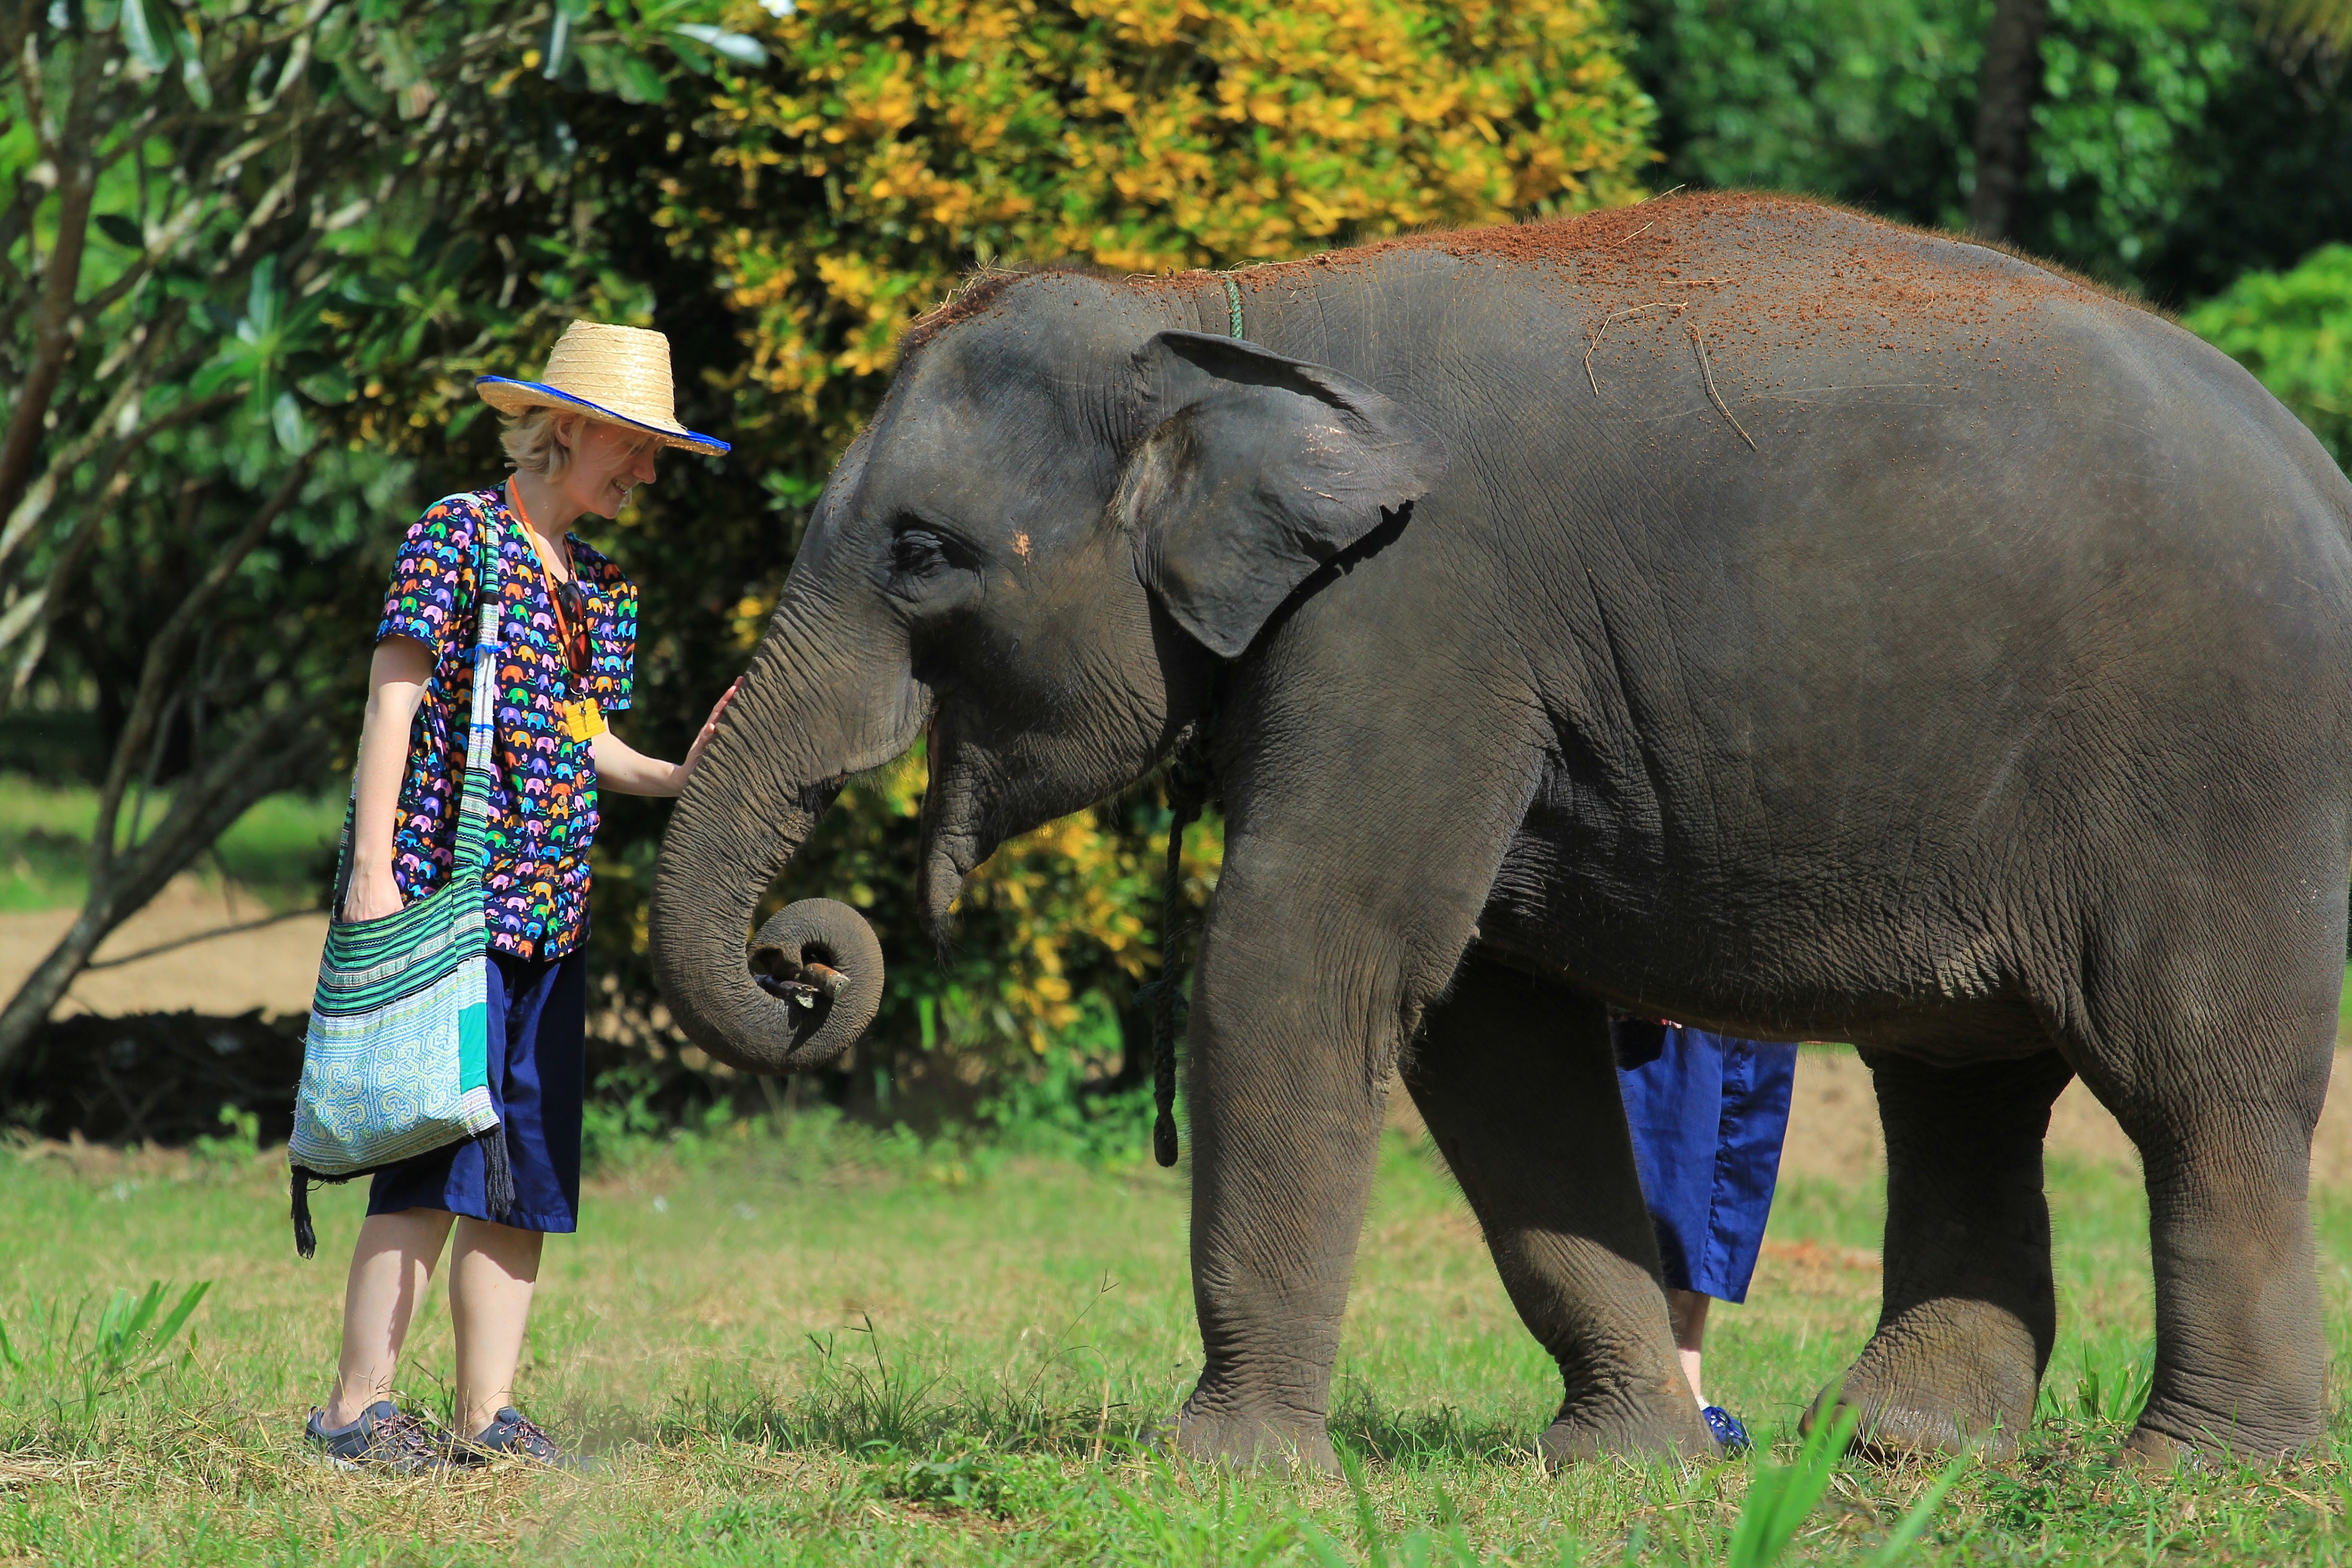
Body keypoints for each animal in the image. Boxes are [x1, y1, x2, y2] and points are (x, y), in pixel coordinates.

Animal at [649, 192, 2352, 1470]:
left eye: (923, 552)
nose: (808, 958)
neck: (1226, 320)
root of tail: (2326, 475)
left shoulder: (1415, 616)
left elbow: (1303, 959)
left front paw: (1219, 1466)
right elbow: (1490, 1031)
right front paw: (1624, 1462)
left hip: (2224, 768)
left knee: (2197, 1080)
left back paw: (2197, 1473)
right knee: (1962, 1085)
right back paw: (1888, 1448)